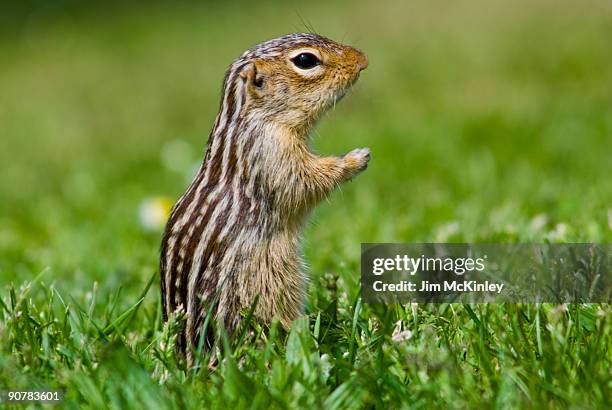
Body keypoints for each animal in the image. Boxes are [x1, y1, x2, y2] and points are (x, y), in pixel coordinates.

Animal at [160, 33, 368, 364]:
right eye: (306, 60)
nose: (363, 59)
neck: (250, 119)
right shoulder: (272, 154)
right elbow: (306, 182)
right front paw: (355, 159)